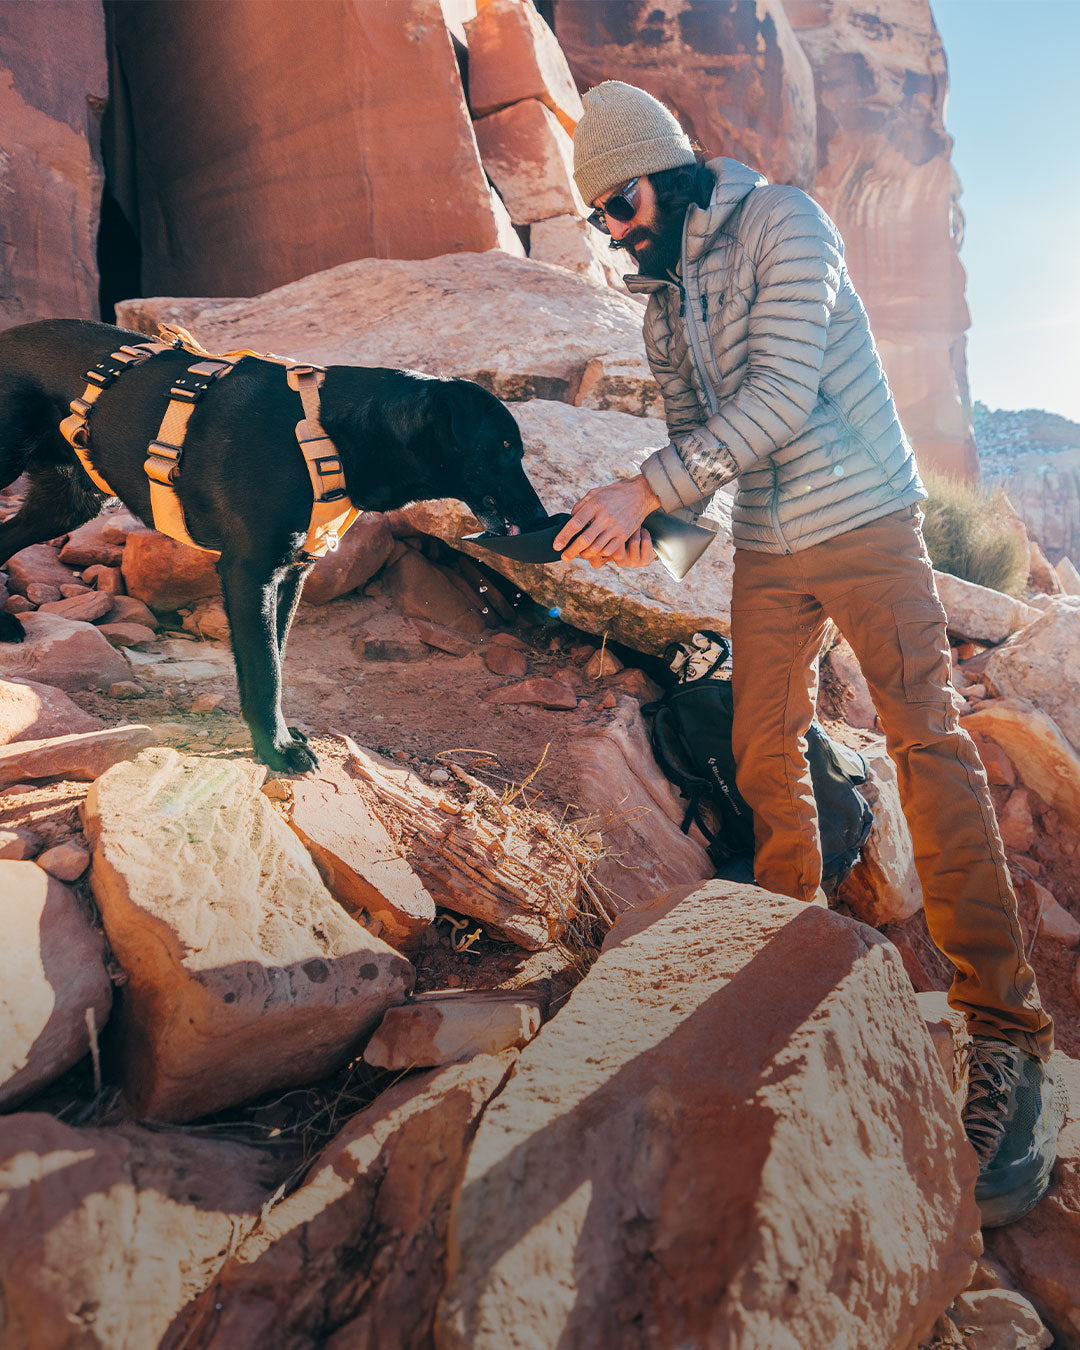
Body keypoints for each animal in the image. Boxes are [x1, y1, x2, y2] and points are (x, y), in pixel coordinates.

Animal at [0, 318, 545, 772]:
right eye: (503, 447)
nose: (541, 518)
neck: (331, 434)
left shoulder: (292, 573)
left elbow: (275, 659)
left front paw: (276, 736)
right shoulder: (251, 572)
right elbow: (265, 669)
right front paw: (278, 749)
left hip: (70, 501)